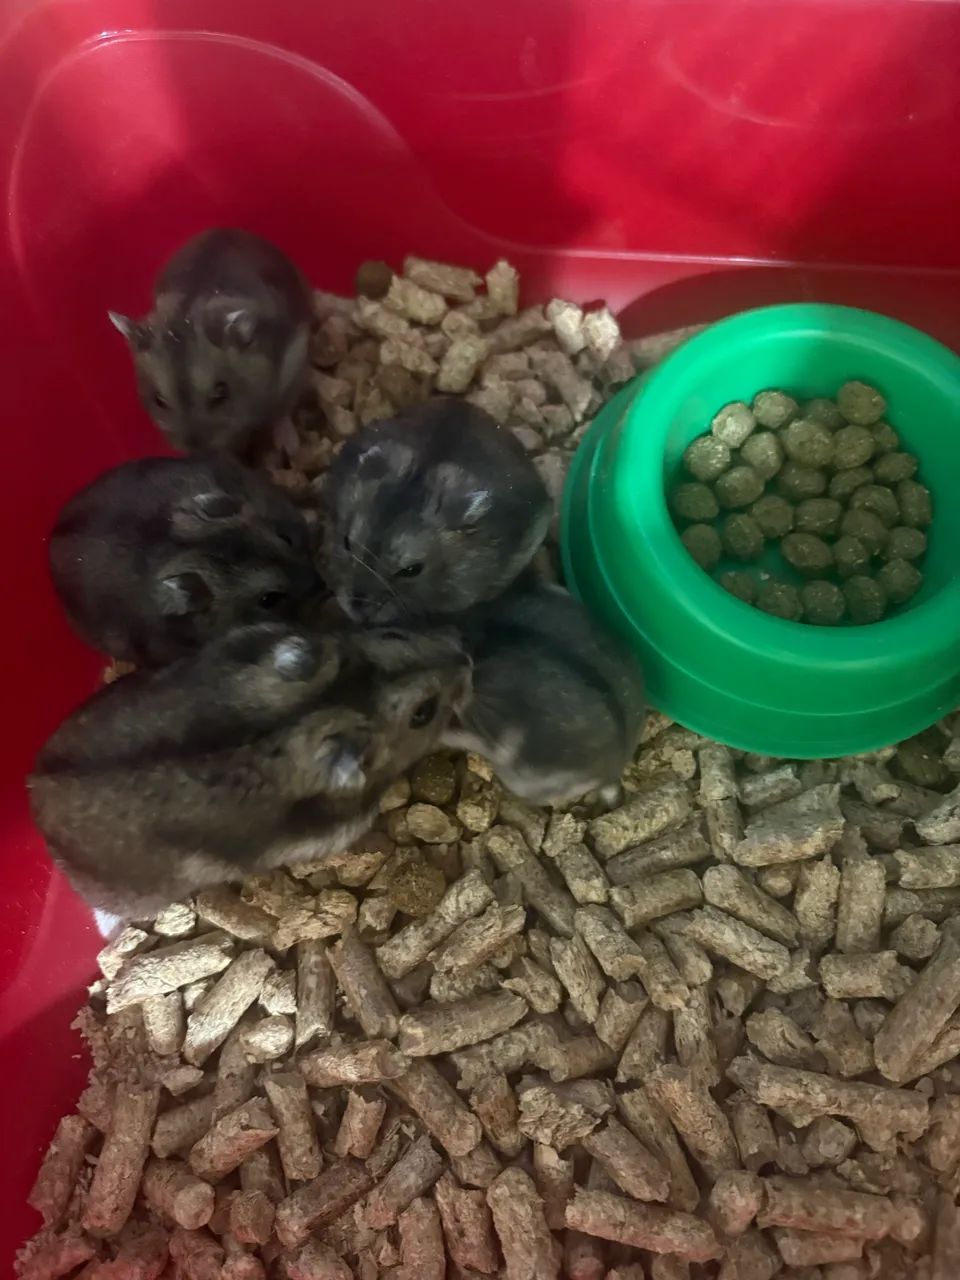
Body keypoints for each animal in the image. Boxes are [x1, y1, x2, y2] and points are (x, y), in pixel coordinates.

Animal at [109, 228, 314, 454]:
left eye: (222, 393)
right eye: (158, 400)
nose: (195, 451)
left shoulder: (292, 364)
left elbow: (281, 411)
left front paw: (290, 446)